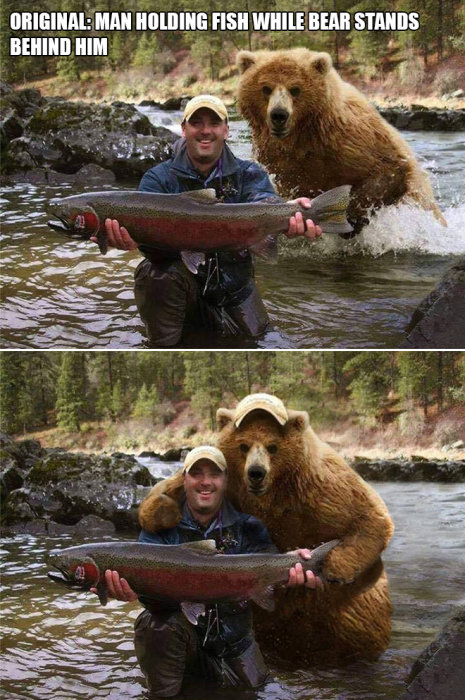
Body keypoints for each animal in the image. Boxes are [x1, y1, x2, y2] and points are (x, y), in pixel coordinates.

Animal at [138, 396, 392, 664]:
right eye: (243, 446)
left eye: (273, 447)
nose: (256, 473)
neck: (272, 496)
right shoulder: (233, 484)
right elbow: (162, 492)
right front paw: (163, 511)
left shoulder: (322, 487)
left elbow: (371, 517)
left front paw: (335, 567)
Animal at [236, 47, 446, 232]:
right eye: (266, 88)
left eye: (295, 89)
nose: (279, 115)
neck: (304, 136)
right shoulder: (279, 161)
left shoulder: (353, 141)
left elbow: (388, 170)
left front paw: (350, 217)